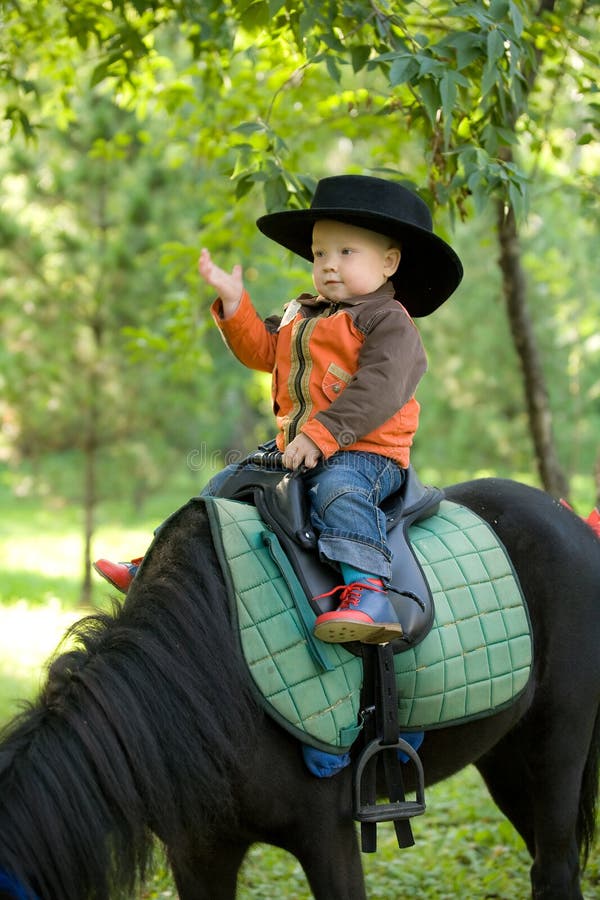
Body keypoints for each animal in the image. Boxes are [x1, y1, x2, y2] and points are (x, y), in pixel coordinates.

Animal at [0, 474, 596, 896]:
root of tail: (574, 521)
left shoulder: (329, 839)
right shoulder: (199, 853)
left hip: (557, 748)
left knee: (556, 871)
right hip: (504, 759)